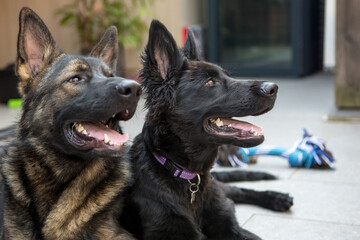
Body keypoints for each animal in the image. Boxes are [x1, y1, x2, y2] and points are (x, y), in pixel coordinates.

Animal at [121, 20, 292, 240]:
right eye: (210, 82)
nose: (273, 88)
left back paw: (277, 198)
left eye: (228, 76)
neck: (188, 177)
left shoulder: (230, 226)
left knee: (235, 191)